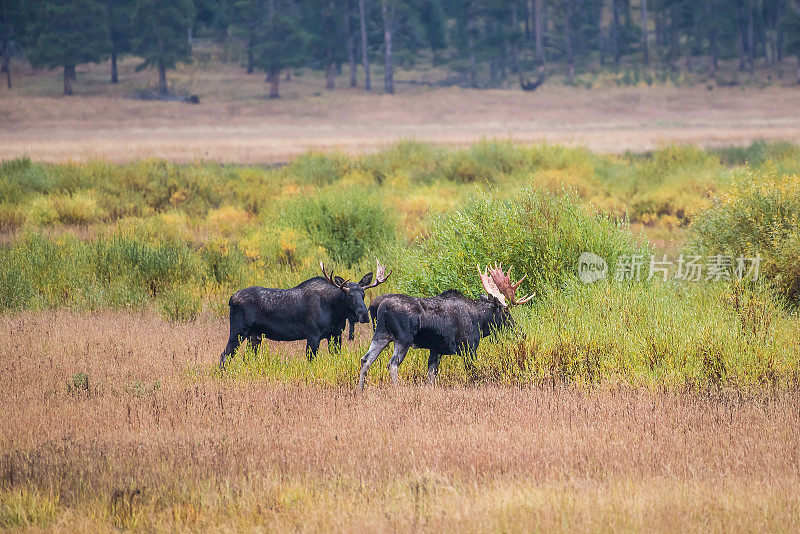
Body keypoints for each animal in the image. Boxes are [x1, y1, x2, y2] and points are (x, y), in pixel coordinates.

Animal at [220, 260, 390, 368]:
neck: (335, 312)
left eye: (363, 294)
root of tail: (231, 299)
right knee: (225, 355)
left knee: (245, 358)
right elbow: (311, 361)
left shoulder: (336, 335)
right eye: (348, 295)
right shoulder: (313, 335)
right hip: (238, 331)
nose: (364, 315)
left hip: (254, 336)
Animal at [360, 266, 536, 392]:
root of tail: (378, 307)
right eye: (506, 311)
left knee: (366, 360)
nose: (520, 332)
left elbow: (431, 377)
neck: (479, 321)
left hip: (381, 335)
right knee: (392, 364)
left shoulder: (436, 350)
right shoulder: (468, 348)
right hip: (403, 339)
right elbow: (474, 374)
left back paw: (360, 391)